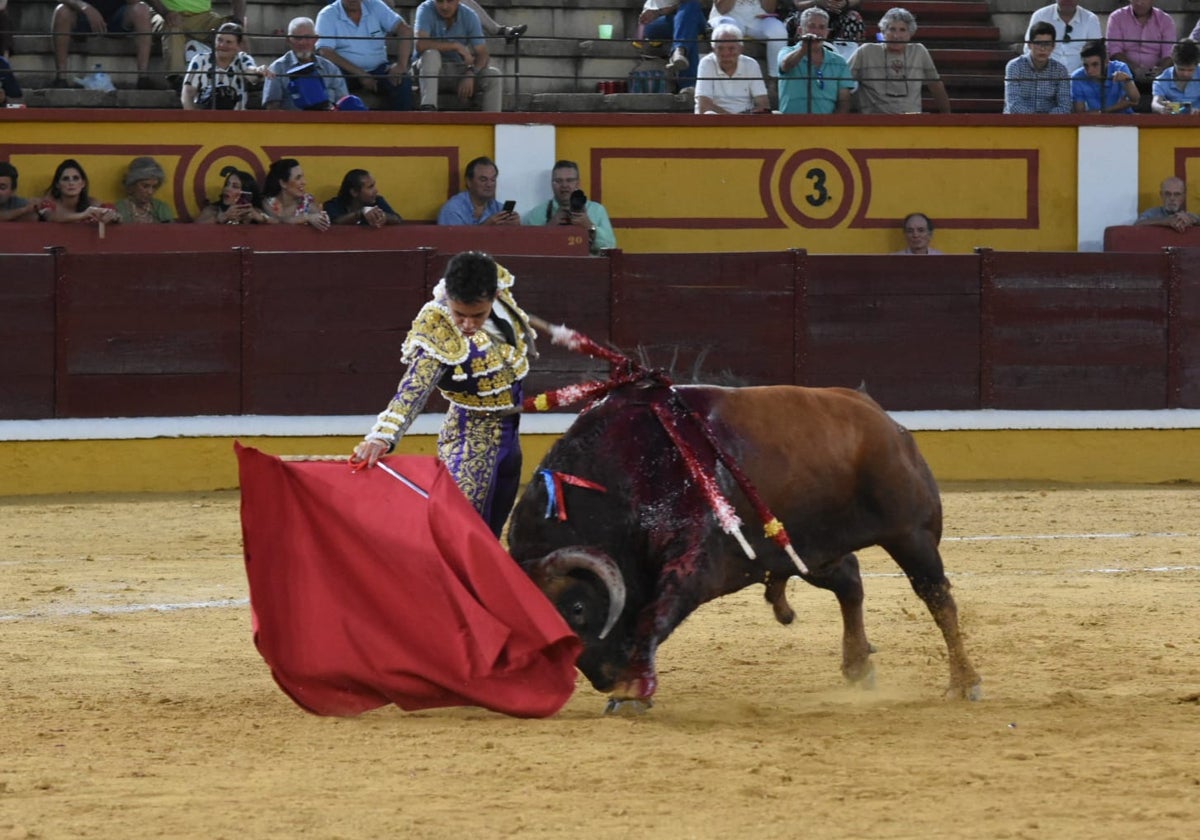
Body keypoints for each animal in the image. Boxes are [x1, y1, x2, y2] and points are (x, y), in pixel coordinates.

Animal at [506, 376, 984, 710]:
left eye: (577, 608)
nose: (604, 677)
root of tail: (883, 418)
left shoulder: (693, 564)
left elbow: (654, 616)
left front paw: (629, 692)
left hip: (912, 536)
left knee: (938, 598)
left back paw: (964, 682)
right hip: (809, 550)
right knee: (850, 582)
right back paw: (858, 666)